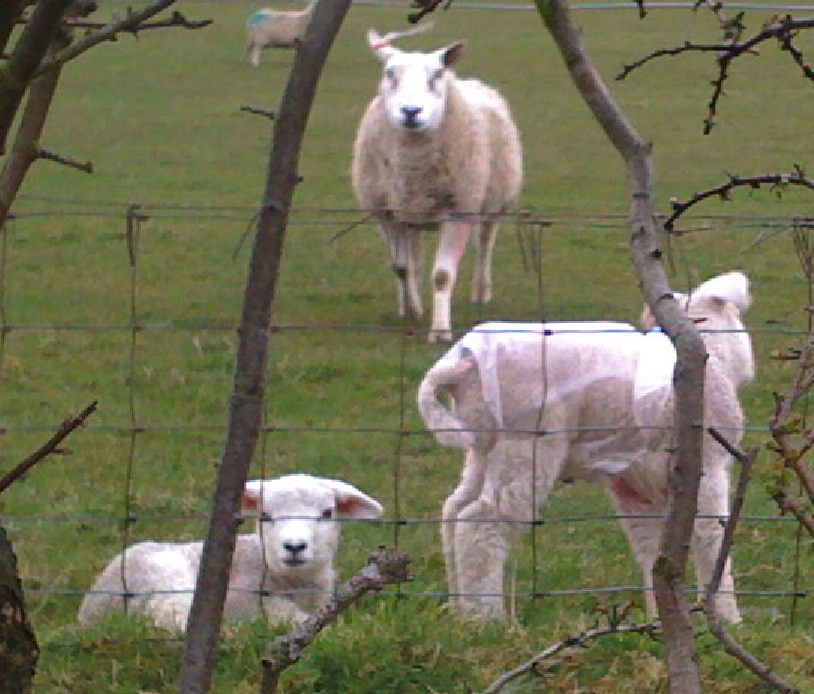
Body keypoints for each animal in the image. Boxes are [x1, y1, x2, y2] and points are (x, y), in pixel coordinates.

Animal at [351, 26, 523, 343]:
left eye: (437, 74)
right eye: (389, 73)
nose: (410, 111)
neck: (413, 163)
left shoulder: (458, 208)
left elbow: (443, 276)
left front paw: (441, 330)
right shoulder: (387, 214)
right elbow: (402, 268)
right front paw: (412, 311)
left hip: (495, 200)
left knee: (485, 245)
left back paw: (481, 292)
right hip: (409, 215)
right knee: (414, 260)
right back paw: (408, 304)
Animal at [417, 272, 753, 622]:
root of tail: (462, 368)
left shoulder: (632, 486)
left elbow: (650, 549)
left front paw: (659, 617)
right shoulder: (707, 467)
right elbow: (712, 538)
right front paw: (727, 618)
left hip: (484, 446)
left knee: (454, 511)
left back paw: (459, 611)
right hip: (528, 443)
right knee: (480, 523)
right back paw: (485, 618)